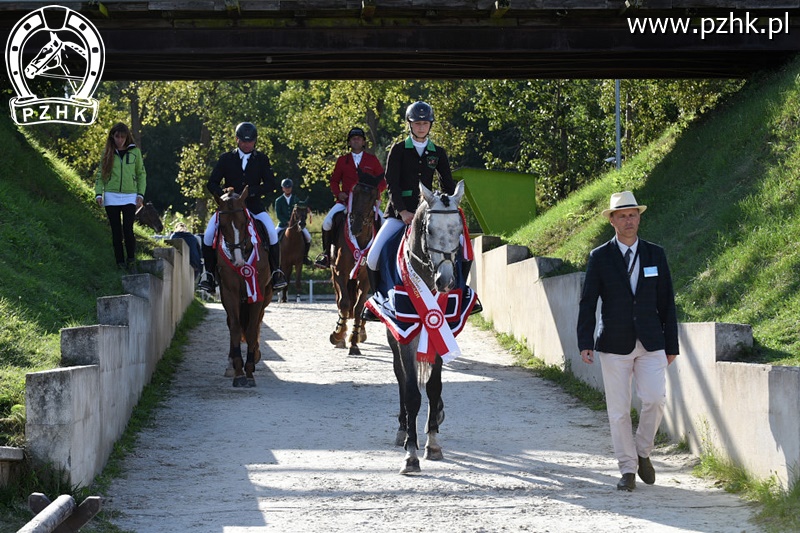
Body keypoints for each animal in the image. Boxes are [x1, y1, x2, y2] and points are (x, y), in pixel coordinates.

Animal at [212, 187, 272, 386]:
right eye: (222, 226)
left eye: (244, 222)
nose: (238, 262)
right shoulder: (229, 292)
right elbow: (236, 327)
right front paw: (238, 371)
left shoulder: (258, 292)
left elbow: (252, 328)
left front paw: (250, 369)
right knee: (232, 324)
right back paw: (231, 363)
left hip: (266, 296)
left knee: (258, 321)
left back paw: (255, 354)